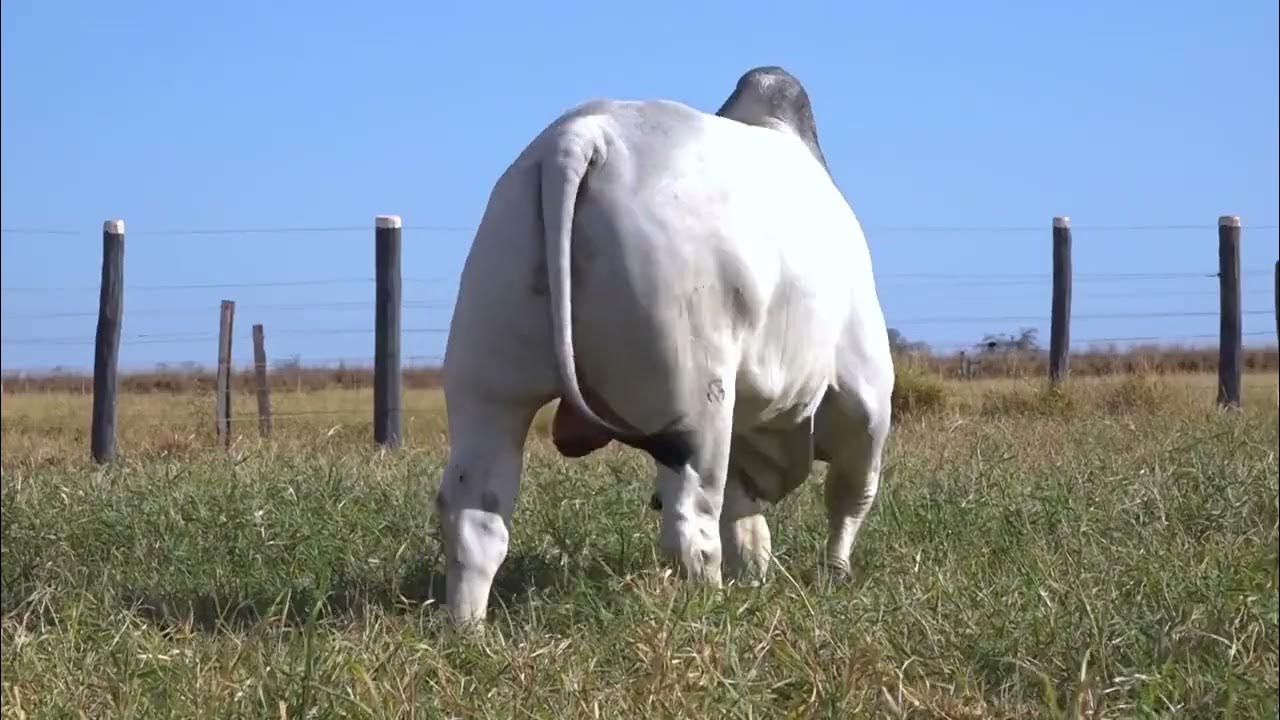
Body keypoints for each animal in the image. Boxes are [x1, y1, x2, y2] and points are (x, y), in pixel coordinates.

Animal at [435, 65, 896, 622]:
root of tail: (580, 136)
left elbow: (747, 519)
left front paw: (758, 574)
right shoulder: (865, 396)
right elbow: (850, 497)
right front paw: (835, 575)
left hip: (489, 382)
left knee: (475, 519)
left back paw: (468, 627)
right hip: (697, 401)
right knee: (692, 525)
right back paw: (713, 609)